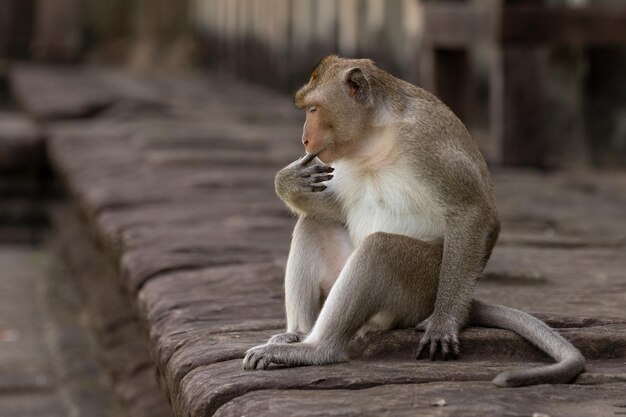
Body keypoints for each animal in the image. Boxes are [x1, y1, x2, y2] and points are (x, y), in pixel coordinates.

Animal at [241, 55, 584, 386]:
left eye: (313, 109)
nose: (304, 140)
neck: (376, 135)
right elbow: (334, 211)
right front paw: (289, 181)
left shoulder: (425, 141)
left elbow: (475, 212)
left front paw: (445, 322)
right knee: (314, 224)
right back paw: (297, 334)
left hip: (420, 289)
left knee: (380, 249)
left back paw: (316, 349)